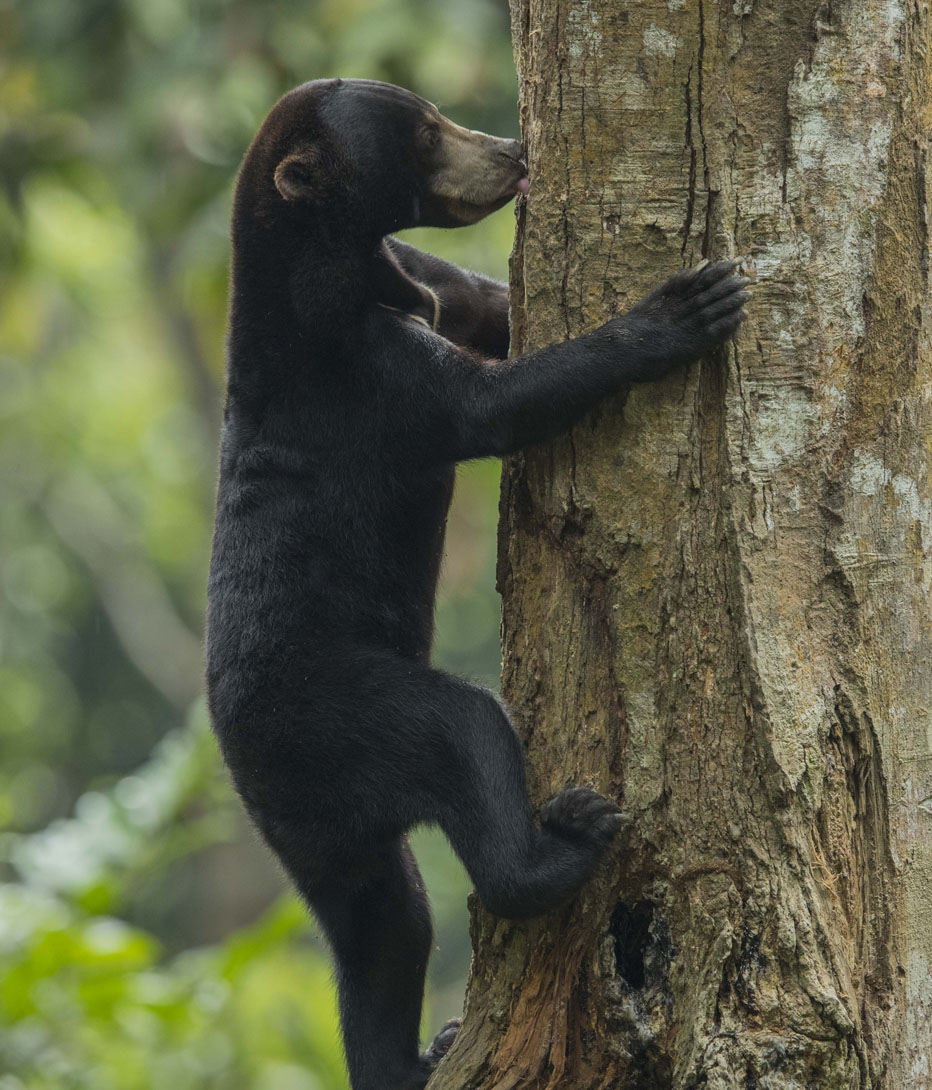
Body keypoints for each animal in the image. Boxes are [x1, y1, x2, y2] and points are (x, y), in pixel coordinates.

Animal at [205, 77, 749, 1090]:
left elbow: (482, 301)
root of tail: (251, 766)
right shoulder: (369, 377)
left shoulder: (415, 285)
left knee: (382, 931)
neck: (322, 266)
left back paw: (420, 1054)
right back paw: (570, 837)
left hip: (320, 837)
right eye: (423, 134)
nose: (513, 150)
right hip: (348, 708)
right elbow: (500, 402)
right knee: (463, 739)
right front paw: (689, 304)